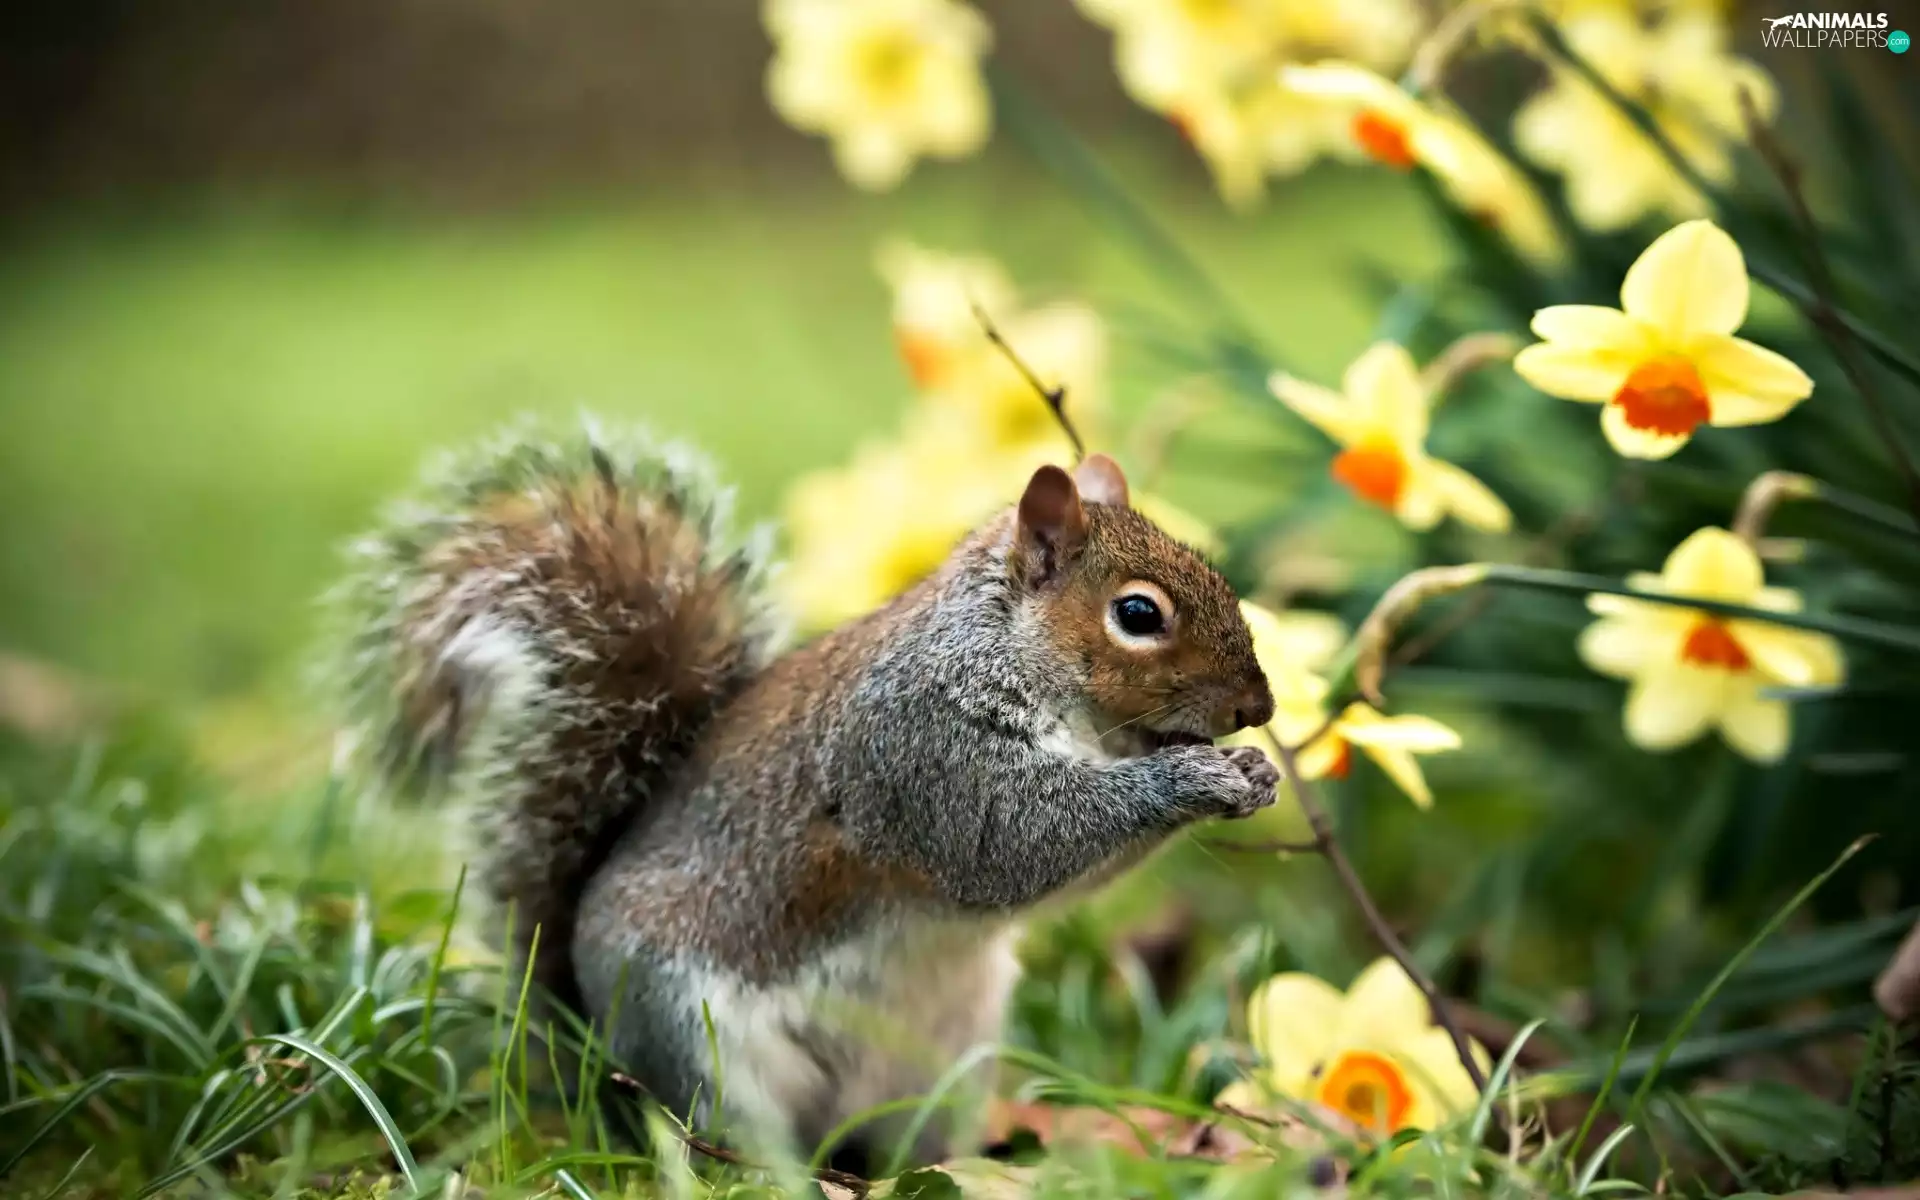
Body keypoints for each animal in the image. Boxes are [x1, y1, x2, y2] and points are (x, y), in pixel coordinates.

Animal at [331, 419, 1277, 1171]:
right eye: (1138, 615)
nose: (1259, 710)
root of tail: (589, 1049)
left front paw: (1251, 771)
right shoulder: (918, 753)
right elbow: (1010, 844)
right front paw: (1192, 778)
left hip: (943, 1062)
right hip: (695, 1037)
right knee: (723, 1136)